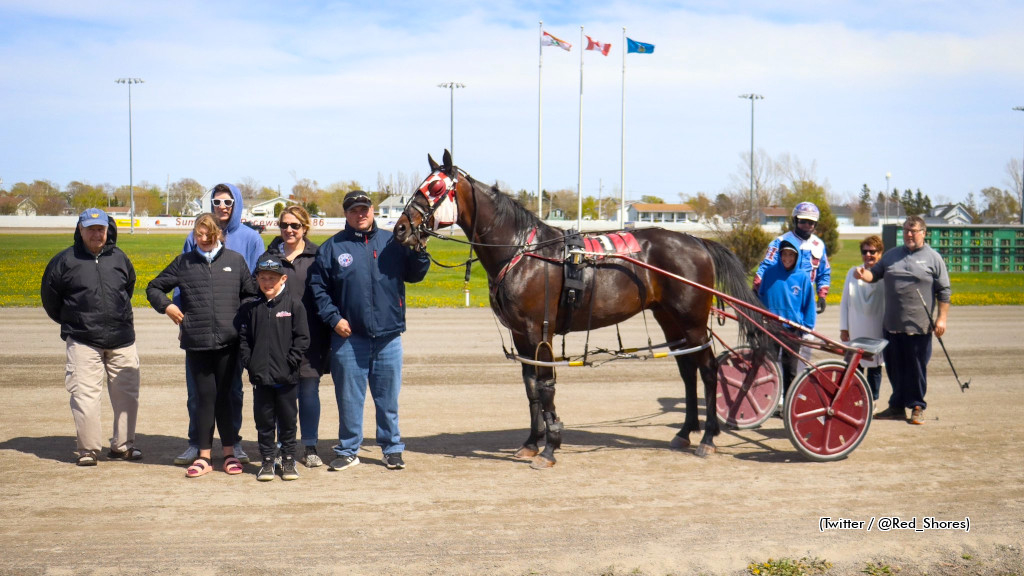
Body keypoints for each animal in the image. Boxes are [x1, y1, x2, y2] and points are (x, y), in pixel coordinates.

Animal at [395, 151, 765, 467]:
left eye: (435, 187)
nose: (401, 228)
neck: (523, 252)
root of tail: (698, 241)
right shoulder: (520, 334)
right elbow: (530, 387)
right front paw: (532, 442)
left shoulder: (538, 330)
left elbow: (545, 386)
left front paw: (550, 447)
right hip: (669, 319)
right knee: (688, 371)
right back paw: (685, 432)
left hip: (692, 321)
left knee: (709, 370)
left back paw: (708, 438)